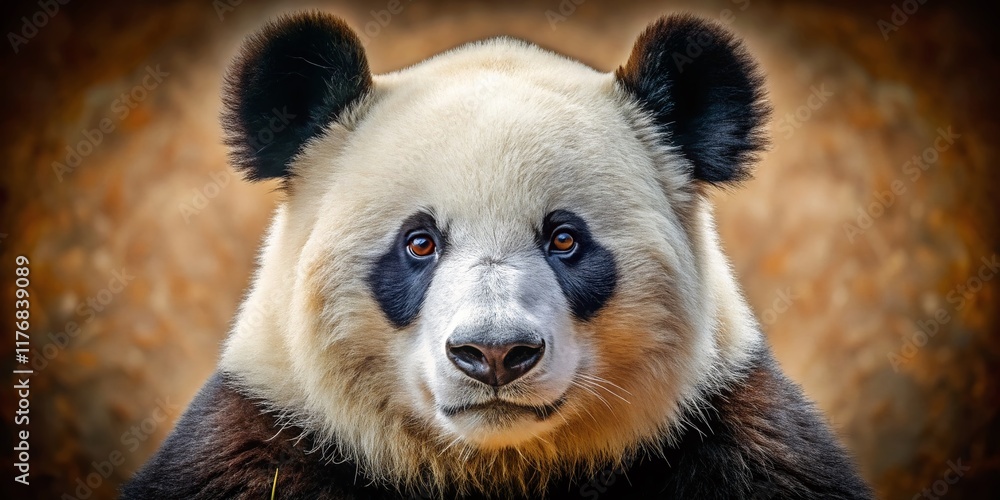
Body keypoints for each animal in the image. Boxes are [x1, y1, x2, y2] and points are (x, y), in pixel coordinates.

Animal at [123, 11, 872, 500]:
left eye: (564, 239)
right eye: (419, 243)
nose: (493, 353)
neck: (498, 465)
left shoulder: (726, 438)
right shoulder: (270, 438)